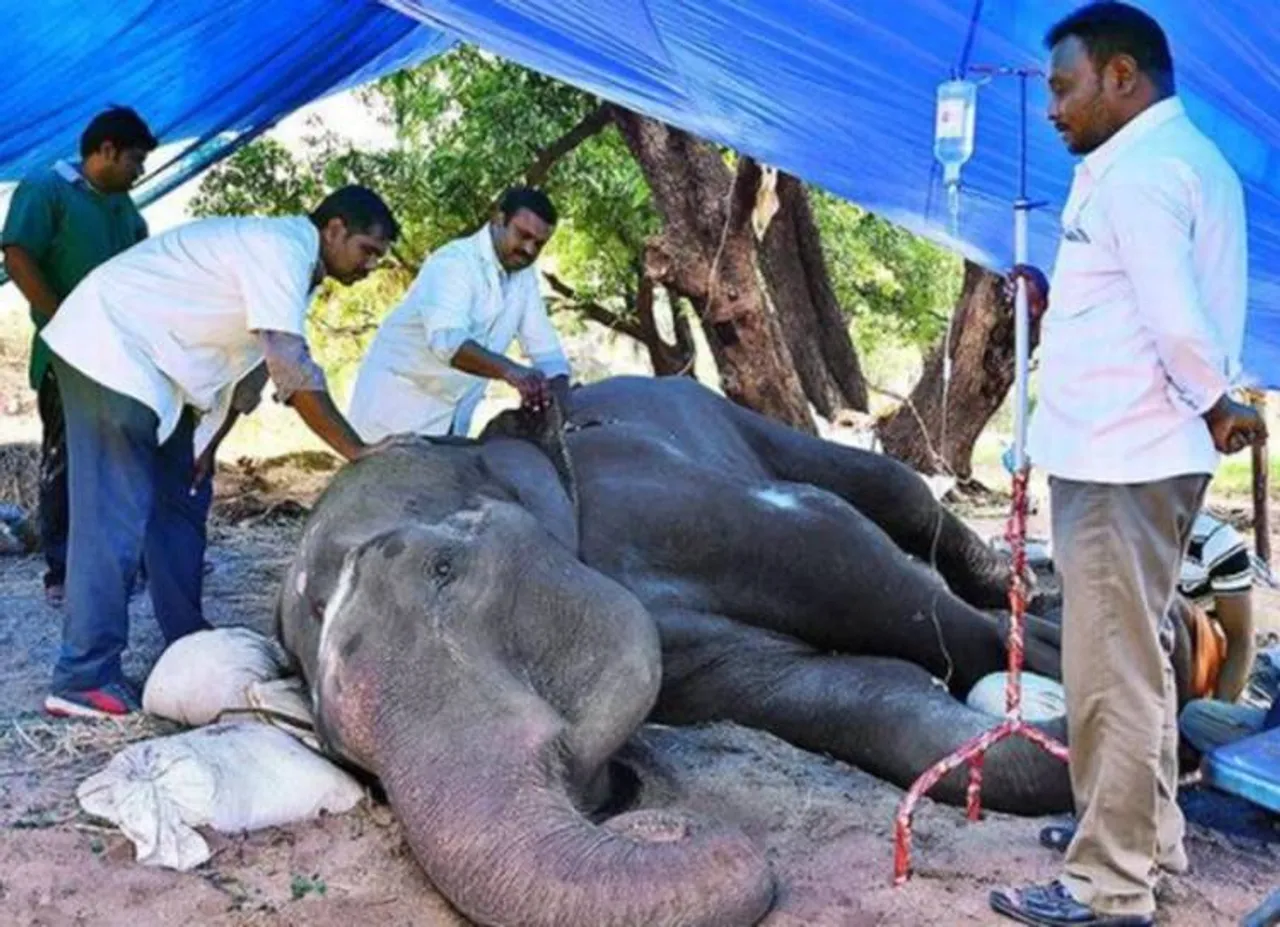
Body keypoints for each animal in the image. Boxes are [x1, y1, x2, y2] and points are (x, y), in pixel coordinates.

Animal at [275, 373, 1085, 926]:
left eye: (442, 568)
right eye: (341, 752)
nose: (642, 809)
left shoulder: (679, 503)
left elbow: (855, 555)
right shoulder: (705, 669)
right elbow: (858, 699)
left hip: (743, 419)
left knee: (894, 492)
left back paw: (1037, 597)